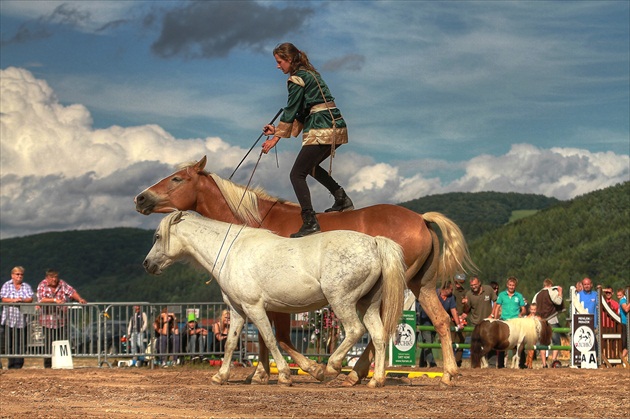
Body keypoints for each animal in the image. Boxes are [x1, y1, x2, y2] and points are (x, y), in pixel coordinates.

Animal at [145, 212, 408, 388]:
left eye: (158, 236)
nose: (147, 264)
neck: (232, 251)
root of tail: (374, 243)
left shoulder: (254, 307)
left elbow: (271, 340)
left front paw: (284, 375)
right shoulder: (238, 310)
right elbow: (231, 343)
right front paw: (221, 376)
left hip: (341, 301)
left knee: (355, 330)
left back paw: (332, 367)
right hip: (368, 304)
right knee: (378, 336)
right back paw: (374, 380)